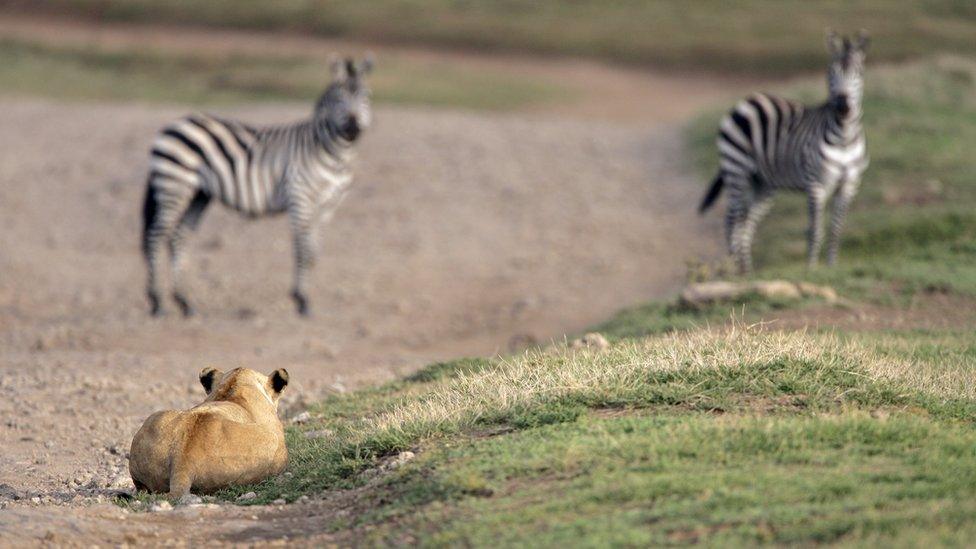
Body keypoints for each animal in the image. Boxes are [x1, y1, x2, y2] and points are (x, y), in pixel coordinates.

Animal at [141, 55, 374, 316]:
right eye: (338, 98)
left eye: (366, 96)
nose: (353, 128)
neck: (334, 155)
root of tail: (174, 124)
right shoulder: (300, 196)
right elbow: (301, 249)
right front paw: (301, 300)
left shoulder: (328, 206)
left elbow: (313, 252)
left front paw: (303, 296)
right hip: (174, 185)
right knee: (155, 236)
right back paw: (157, 302)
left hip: (199, 194)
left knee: (177, 238)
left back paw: (184, 302)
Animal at [696, 31, 872, 272]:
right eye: (830, 73)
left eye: (859, 74)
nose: (843, 107)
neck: (844, 138)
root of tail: (748, 99)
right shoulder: (816, 184)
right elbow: (815, 230)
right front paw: (811, 269)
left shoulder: (849, 185)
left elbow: (836, 230)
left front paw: (832, 267)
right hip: (736, 168)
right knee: (732, 220)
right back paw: (735, 270)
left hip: (762, 184)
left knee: (746, 224)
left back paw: (747, 272)